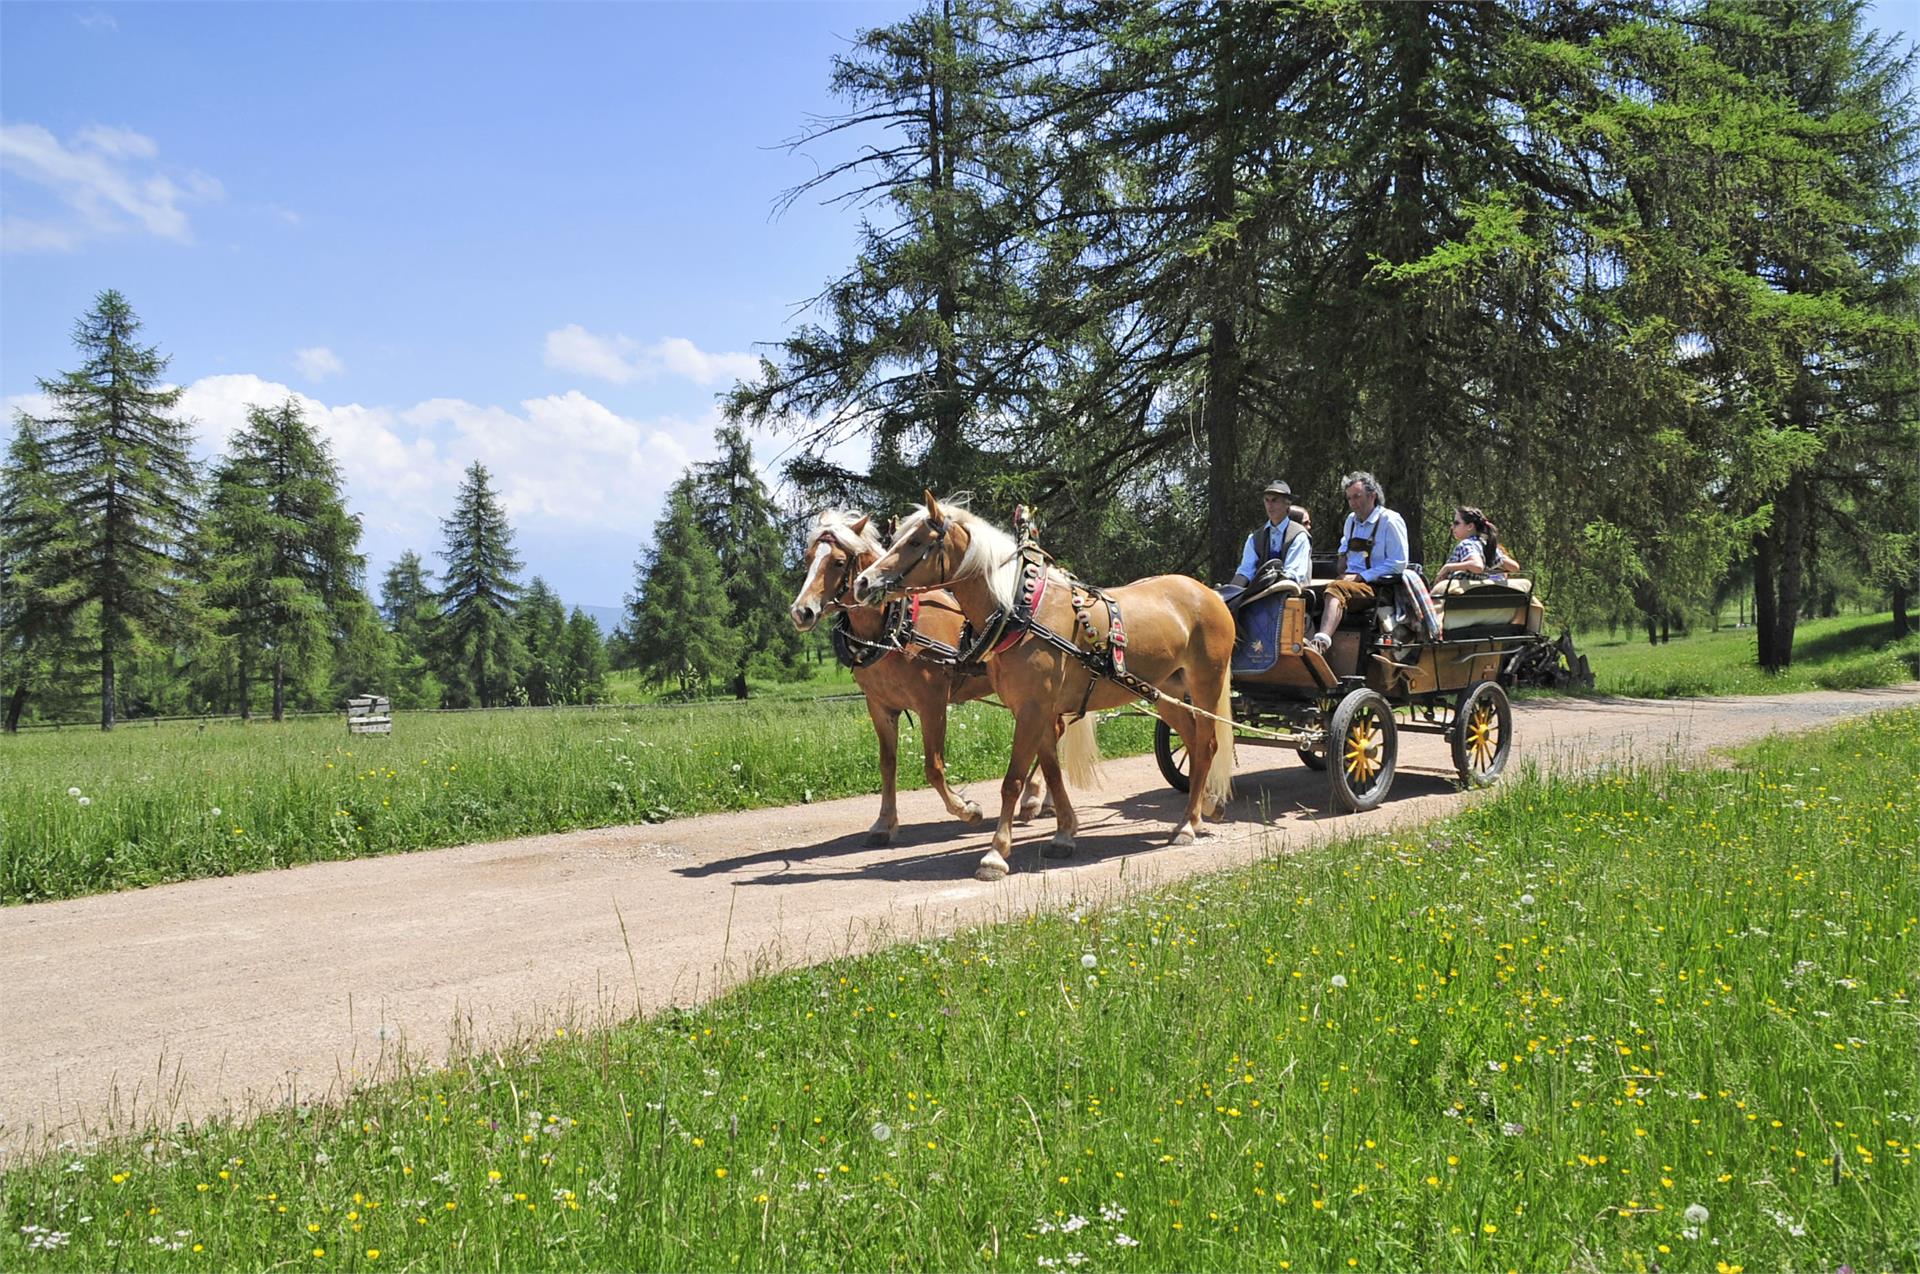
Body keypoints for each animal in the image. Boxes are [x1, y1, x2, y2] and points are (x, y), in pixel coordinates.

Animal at [787, 506, 1052, 844]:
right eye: (809, 559)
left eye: (837, 561)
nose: (801, 612)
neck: (895, 626)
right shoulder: (880, 706)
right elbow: (887, 763)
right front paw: (884, 822)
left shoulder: (932, 703)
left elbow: (934, 767)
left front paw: (966, 809)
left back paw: (1033, 797)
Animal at [860, 491, 1244, 882]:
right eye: (894, 538)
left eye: (916, 542)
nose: (864, 582)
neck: (1022, 613)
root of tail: (1208, 594)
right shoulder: (1037, 709)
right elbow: (1052, 772)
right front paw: (1063, 834)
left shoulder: (1031, 709)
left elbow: (1013, 780)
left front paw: (995, 854)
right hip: (1166, 692)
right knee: (1194, 743)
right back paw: (1205, 808)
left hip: (1206, 684)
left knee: (1208, 744)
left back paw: (1188, 824)